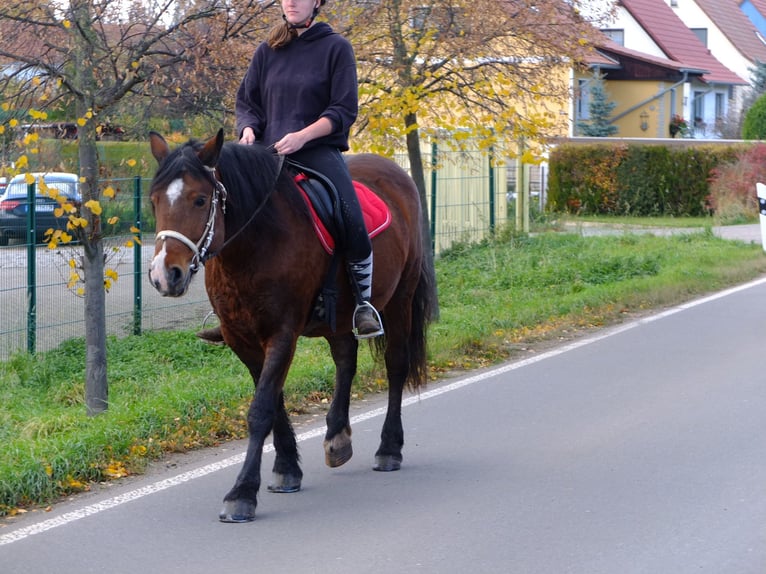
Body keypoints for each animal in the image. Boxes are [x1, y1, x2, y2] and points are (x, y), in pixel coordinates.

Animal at [147, 132, 436, 528]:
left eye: (200, 199)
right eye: (155, 200)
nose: (164, 276)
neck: (256, 242)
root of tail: (396, 171)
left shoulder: (282, 334)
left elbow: (261, 410)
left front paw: (242, 494)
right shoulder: (242, 339)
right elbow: (273, 401)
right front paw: (286, 469)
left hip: (400, 300)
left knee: (396, 365)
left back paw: (389, 448)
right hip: (339, 318)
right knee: (346, 360)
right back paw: (338, 437)